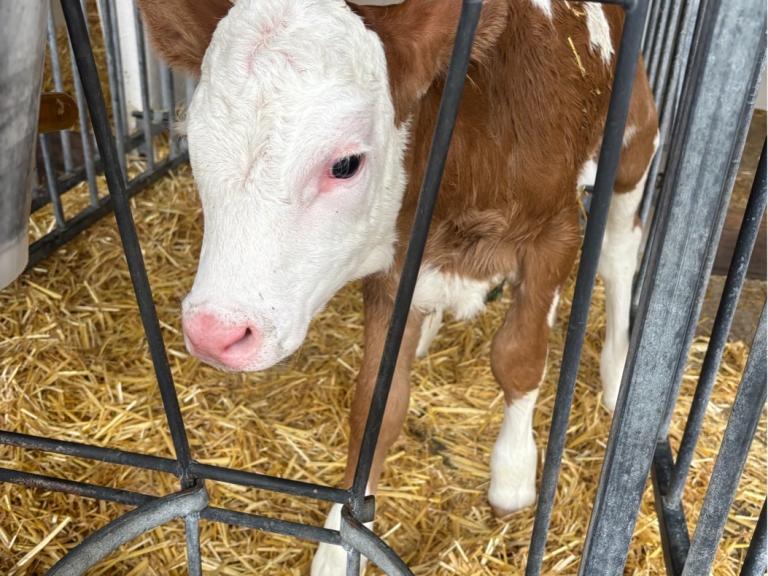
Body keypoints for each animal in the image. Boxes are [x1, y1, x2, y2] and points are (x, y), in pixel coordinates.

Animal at [137, 0, 659, 573]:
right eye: (193, 141)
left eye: (345, 164)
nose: (214, 331)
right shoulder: (397, 267)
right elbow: (375, 408)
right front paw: (336, 546)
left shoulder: (555, 233)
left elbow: (520, 358)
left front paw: (514, 473)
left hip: (635, 142)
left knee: (620, 250)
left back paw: (617, 370)